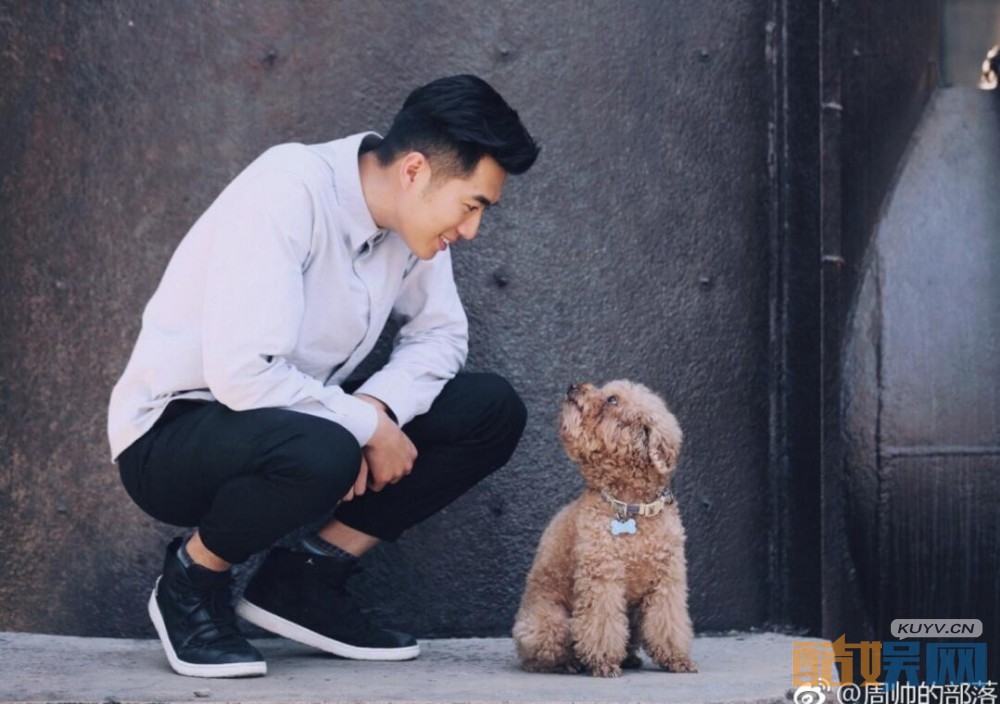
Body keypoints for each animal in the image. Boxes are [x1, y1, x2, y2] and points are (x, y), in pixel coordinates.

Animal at [512, 380, 696, 678]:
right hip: (549, 623)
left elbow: (668, 621)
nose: (573, 386)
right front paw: (603, 662)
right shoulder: (602, 575)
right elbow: (602, 623)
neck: (632, 505)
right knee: (544, 654)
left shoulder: (668, 579)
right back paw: (568, 664)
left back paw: (629, 658)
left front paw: (676, 659)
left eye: (612, 400)